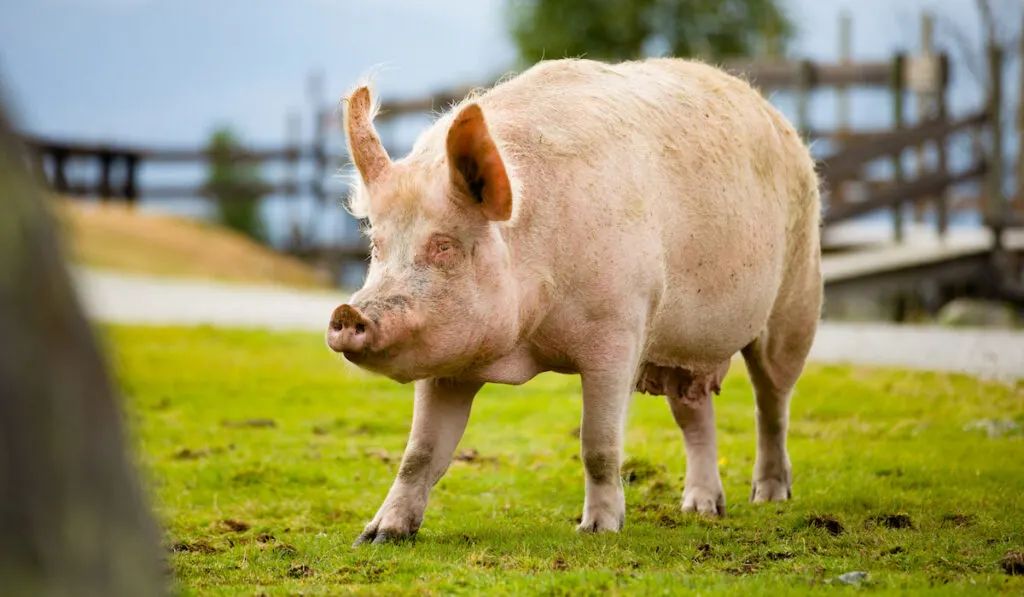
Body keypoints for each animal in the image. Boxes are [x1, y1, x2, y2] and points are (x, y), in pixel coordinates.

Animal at [327, 56, 823, 544]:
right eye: (376, 246)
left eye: (444, 246)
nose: (348, 312)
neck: (527, 344)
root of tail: (777, 115)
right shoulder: (449, 360)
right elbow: (420, 452)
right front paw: (377, 536)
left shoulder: (620, 330)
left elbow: (598, 443)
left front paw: (597, 530)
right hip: (679, 345)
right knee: (695, 414)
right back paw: (702, 510)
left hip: (796, 303)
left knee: (773, 401)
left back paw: (770, 498)